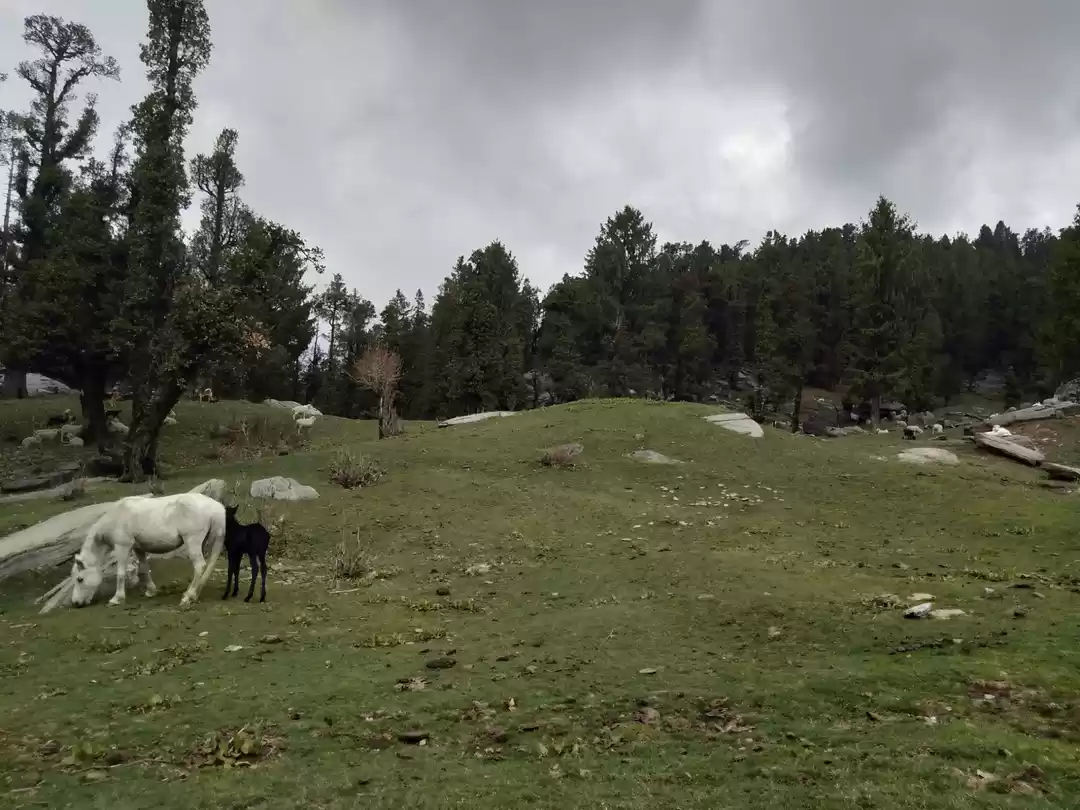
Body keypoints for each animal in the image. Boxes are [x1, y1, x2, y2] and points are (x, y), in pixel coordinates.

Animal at [70, 492, 226, 609]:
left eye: (80, 579)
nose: (76, 603)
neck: (117, 517)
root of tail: (216, 507)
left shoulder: (122, 547)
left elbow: (120, 573)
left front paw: (117, 598)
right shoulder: (139, 549)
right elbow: (144, 569)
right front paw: (151, 591)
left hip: (193, 541)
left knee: (200, 565)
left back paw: (188, 596)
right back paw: (194, 594)